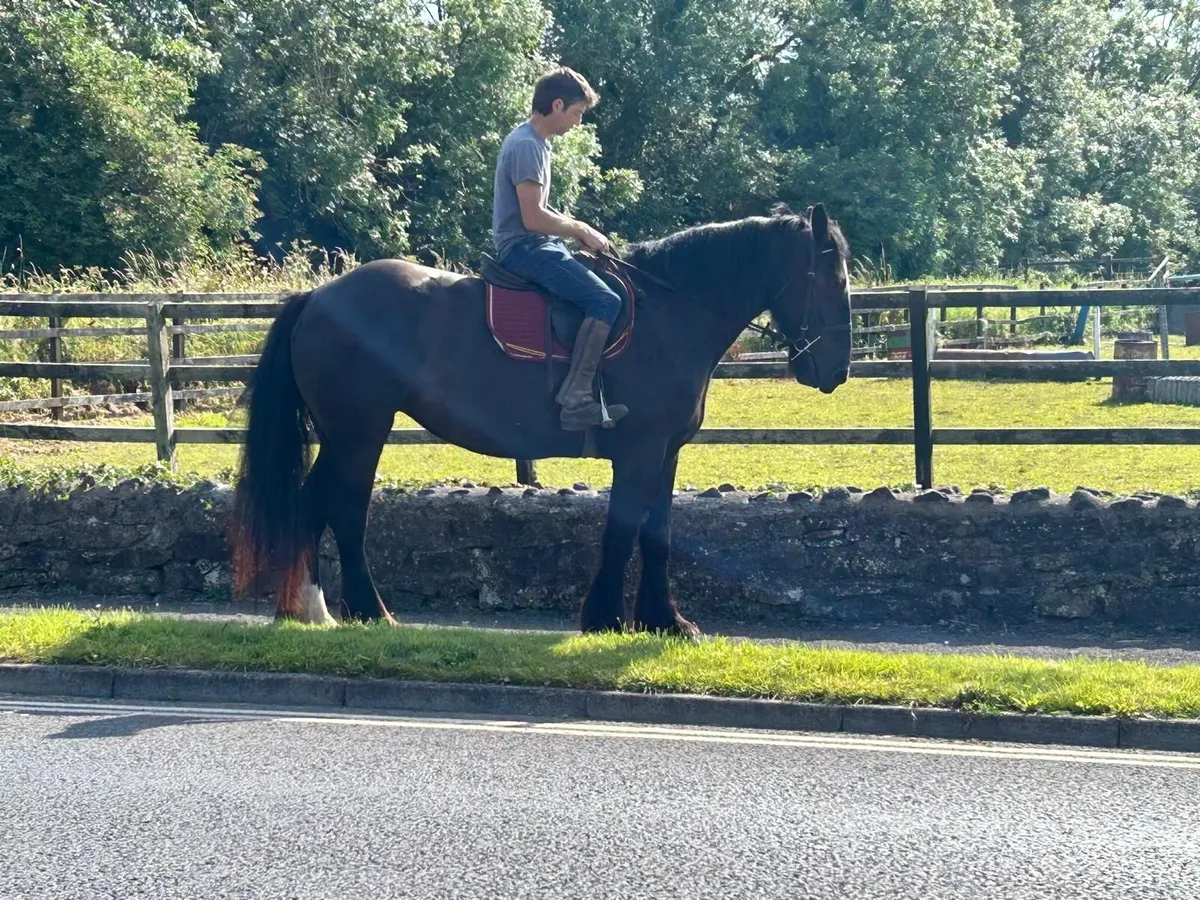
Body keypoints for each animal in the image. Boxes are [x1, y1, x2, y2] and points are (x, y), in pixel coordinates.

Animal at [229, 203, 852, 636]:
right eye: (835, 280)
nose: (836, 370)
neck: (671, 312)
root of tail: (317, 297)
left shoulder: (665, 453)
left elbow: (658, 535)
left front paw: (665, 622)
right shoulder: (639, 451)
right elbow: (622, 531)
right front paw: (606, 619)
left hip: (342, 435)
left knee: (311, 504)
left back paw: (309, 611)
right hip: (360, 433)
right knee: (344, 509)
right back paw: (367, 611)